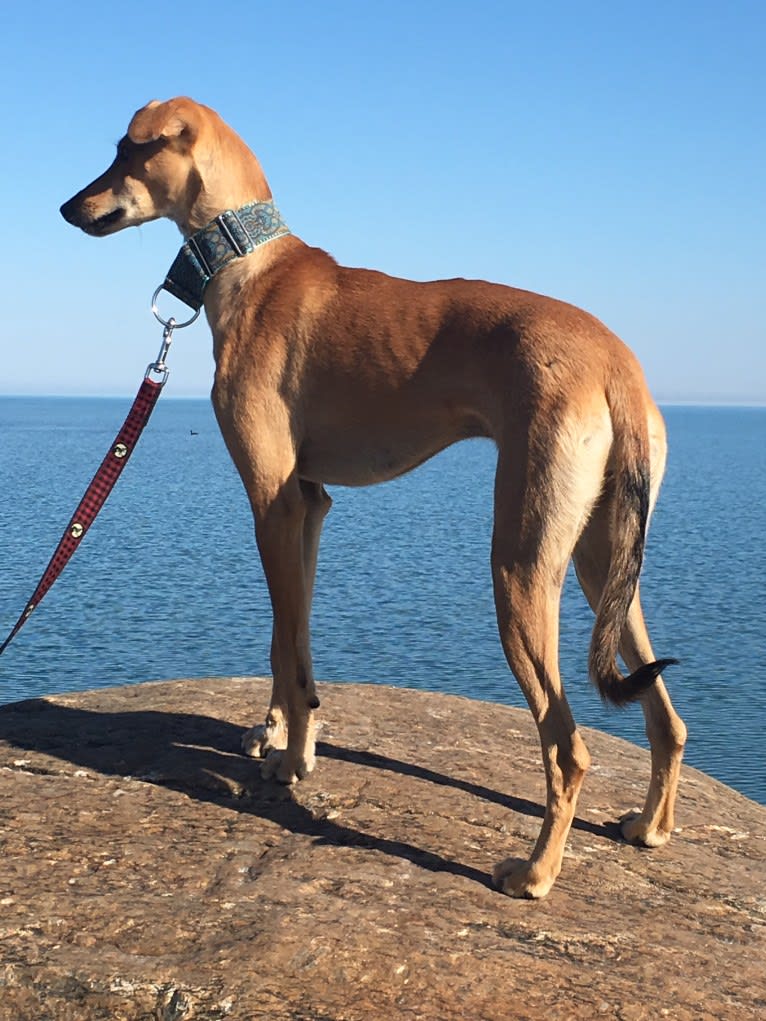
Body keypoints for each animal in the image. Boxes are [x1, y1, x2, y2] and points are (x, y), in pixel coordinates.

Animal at [56, 99, 686, 898]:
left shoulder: (272, 504)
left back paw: (534, 872)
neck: (251, 264)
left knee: (567, 747)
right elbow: (287, 637)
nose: (67, 208)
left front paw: (292, 761)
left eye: (124, 150)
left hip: (520, 564)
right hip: (602, 562)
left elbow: (290, 650)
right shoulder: (308, 504)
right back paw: (650, 827)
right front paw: (276, 733)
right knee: (667, 720)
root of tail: (617, 363)